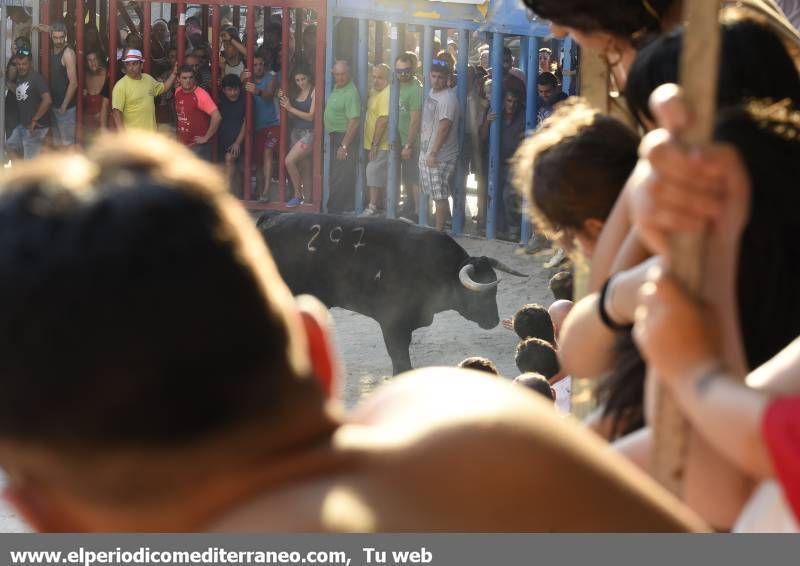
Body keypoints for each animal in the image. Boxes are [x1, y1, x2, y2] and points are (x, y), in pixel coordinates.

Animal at [260, 213, 528, 378]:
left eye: (495, 290)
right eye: (483, 294)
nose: (494, 321)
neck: (439, 269)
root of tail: (270, 219)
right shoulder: (392, 323)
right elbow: (399, 357)